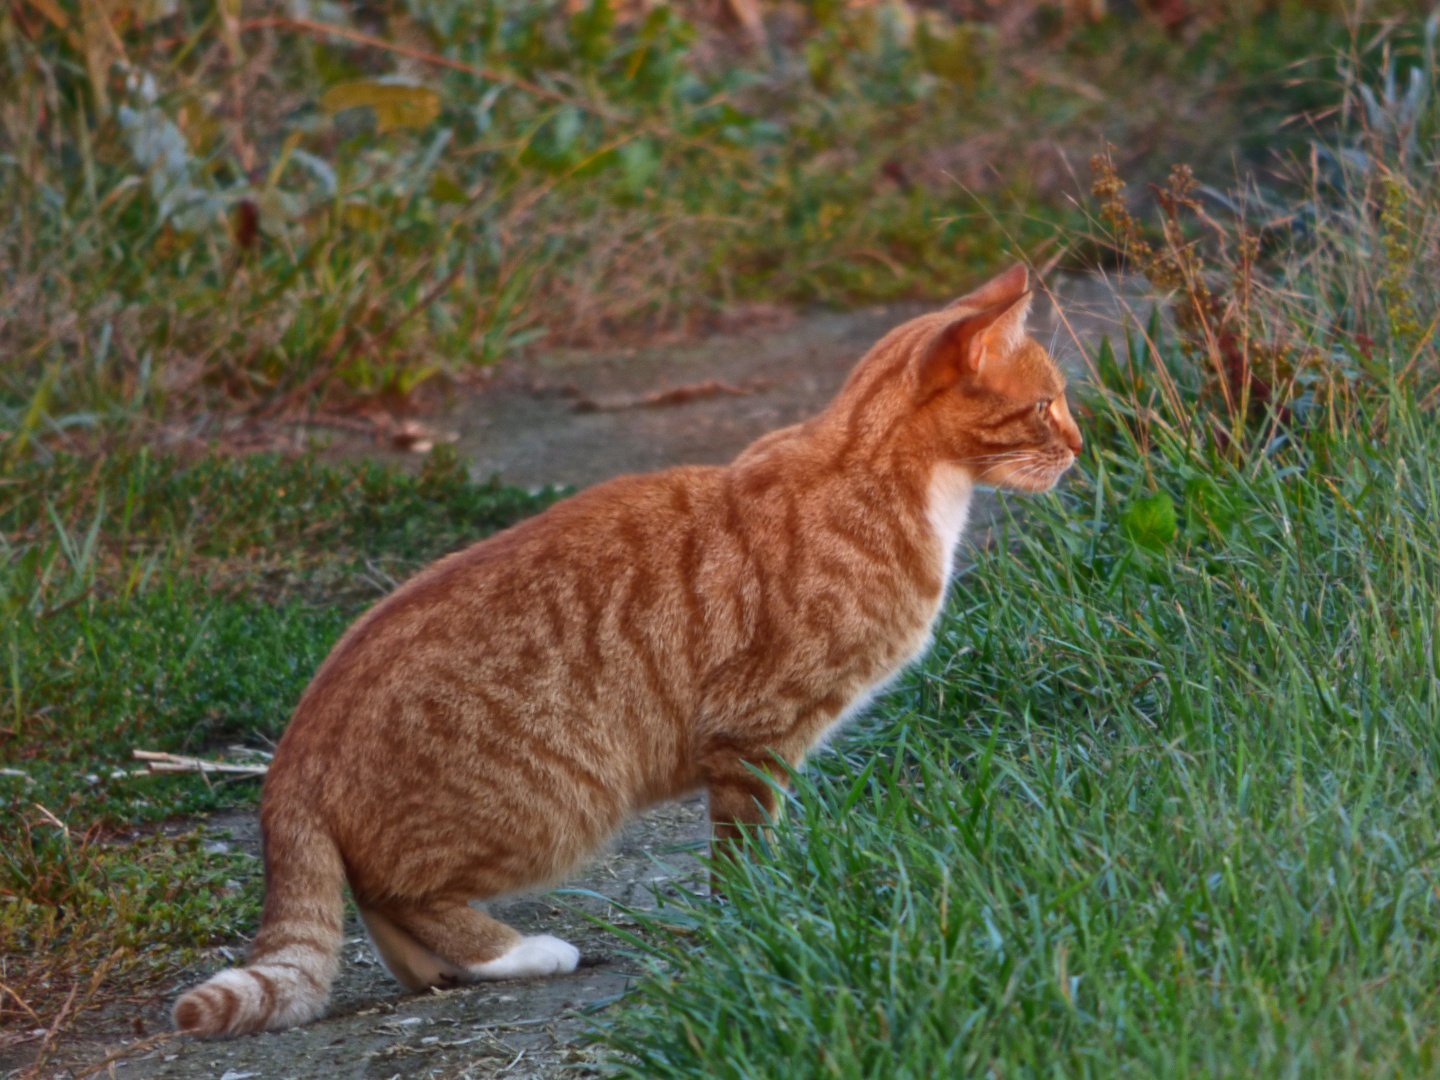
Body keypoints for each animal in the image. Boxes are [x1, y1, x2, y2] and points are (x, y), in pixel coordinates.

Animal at [171, 264, 1082, 1042]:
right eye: (1045, 407)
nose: (1079, 444)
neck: (888, 478)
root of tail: (294, 746)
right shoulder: (753, 734)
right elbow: (746, 851)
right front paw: (766, 916)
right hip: (560, 801)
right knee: (401, 890)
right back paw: (521, 953)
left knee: (379, 906)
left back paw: (439, 971)